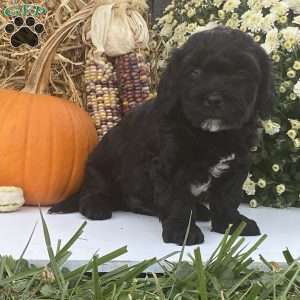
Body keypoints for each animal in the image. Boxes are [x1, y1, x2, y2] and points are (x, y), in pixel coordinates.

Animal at [49, 26, 272, 246]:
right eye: (195, 72)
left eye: (241, 73)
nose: (214, 99)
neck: (211, 135)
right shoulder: (169, 167)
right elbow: (177, 201)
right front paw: (182, 232)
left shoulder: (236, 163)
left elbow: (227, 196)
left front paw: (233, 224)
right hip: (101, 166)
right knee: (94, 190)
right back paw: (96, 206)